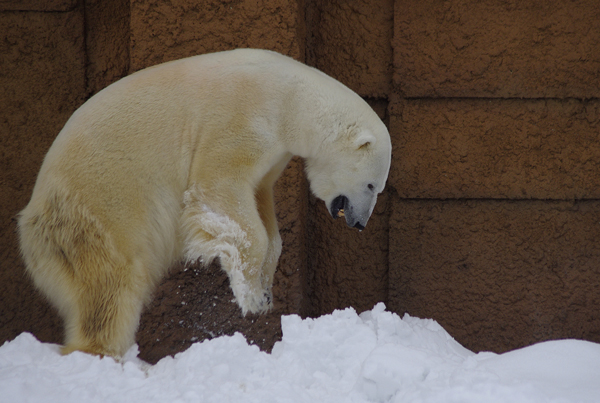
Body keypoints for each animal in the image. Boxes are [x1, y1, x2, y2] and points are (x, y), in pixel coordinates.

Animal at [16, 48, 392, 360]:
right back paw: (102, 352)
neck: (292, 100)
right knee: (112, 280)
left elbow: (261, 199)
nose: (360, 222)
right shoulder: (241, 117)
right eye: (372, 184)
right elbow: (219, 185)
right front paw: (248, 294)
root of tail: (32, 224)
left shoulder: (273, 154)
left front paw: (265, 291)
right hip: (103, 203)